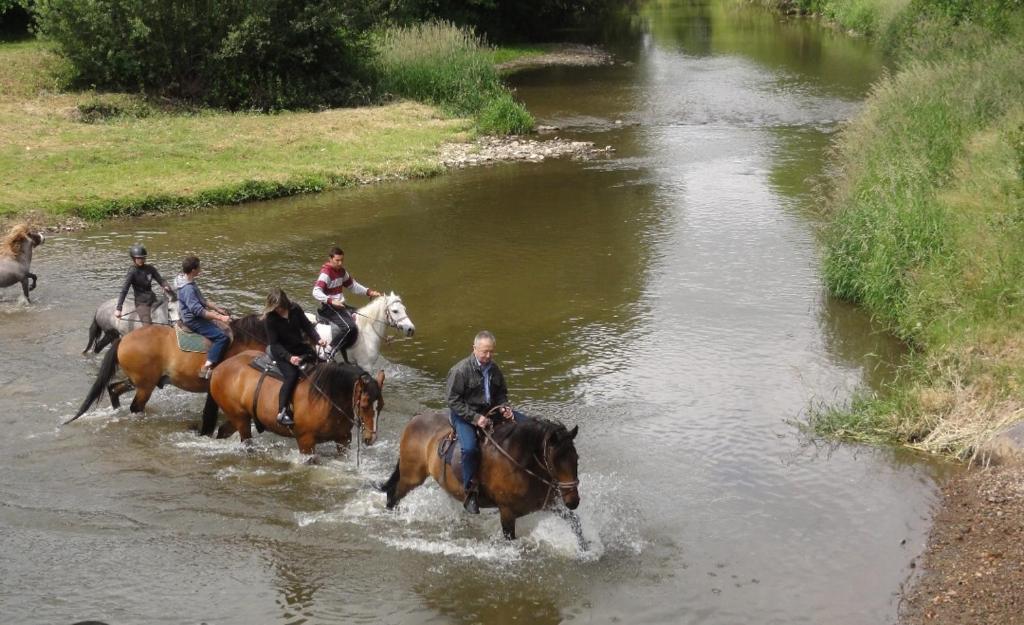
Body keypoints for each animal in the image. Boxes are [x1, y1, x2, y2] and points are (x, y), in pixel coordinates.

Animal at [66, 314, 269, 422]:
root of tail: (123, 339)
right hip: (145, 386)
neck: (245, 341)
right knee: (135, 406)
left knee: (113, 389)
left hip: (136, 381)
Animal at [203, 350, 385, 457]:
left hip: (240, 417)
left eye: (381, 406)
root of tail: (219, 368)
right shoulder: (306, 442)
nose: (371, 438)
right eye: (364, 405)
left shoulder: (343, 439)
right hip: (240, 419)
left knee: (223, 430)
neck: (328, 399)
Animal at [380, 413, 581, 539]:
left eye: (576, 459)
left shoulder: (551, 506)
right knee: (393, 495)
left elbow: (577, 527)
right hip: (411, 477)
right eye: (555, 461)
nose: (573, 501)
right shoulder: (507, 512)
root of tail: (416, 418)